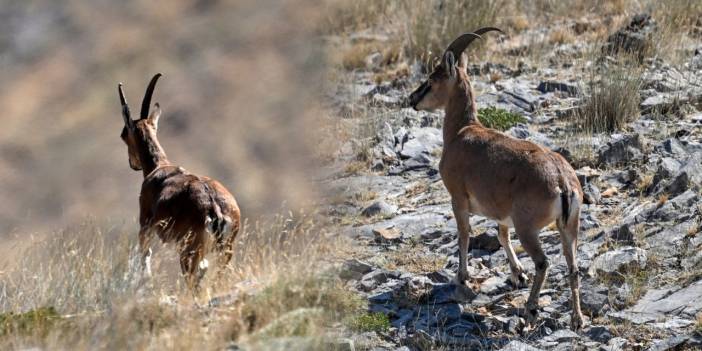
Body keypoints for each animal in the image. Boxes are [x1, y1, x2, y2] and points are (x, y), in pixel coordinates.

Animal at [118, 73, 242, 292]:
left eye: (124, 135)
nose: (133, 164)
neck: (159, 167)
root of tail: (215, 210)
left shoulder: (145, 224)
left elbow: (145, 255)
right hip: (226, 249)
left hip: (189, 250)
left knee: (194, 277)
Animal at [410, 28, 584, 332]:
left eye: (431, 79)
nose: (412, 99)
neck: (462, 132)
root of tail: (563, 182)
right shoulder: (502, 212)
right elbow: (502, 234)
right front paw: (517, 275)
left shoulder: (458, 199)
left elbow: (464, 235)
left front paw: (462, 277)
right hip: (569, 227)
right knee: (573, 267)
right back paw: (577, 319)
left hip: (529, 229)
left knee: (543, 263)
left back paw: (530, 312)